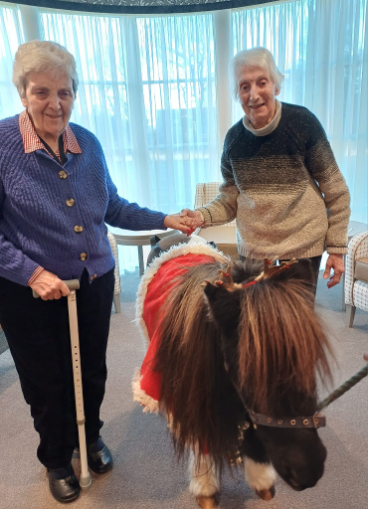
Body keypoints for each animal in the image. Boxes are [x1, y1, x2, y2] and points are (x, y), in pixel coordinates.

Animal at [134, 239, 332, 508]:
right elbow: (202, 438)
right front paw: (205, 487)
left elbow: (253, 432)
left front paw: (260, 478)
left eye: (309, 358)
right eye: (247, 372)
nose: (308, 472)